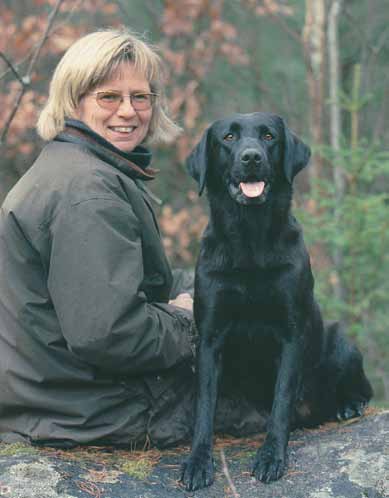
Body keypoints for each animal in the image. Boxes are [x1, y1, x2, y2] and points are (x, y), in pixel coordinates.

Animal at [180, 112, 372, 490]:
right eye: (227, 138)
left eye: (269, 136)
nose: (251, 157)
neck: (250, 242)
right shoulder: (209, 337)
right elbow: (204, 406)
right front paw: (198, 461)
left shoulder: (291, 333)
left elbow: (282, 399)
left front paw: (271, 457)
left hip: (342, 342)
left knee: (362, 389)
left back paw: (348, 405)